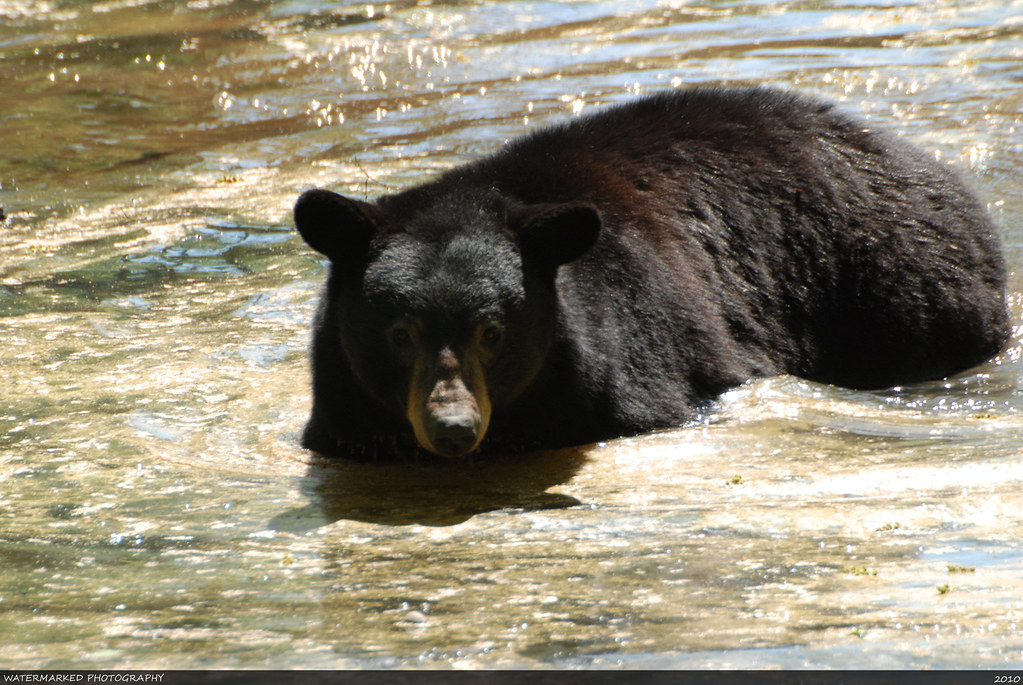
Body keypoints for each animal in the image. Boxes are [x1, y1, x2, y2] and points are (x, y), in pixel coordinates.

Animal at [294, 86, 1009, 461]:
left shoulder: (635, 338)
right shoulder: (338, 393)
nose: (453, 429)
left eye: (492, 333)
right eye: (399, 333)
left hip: (897, 287)